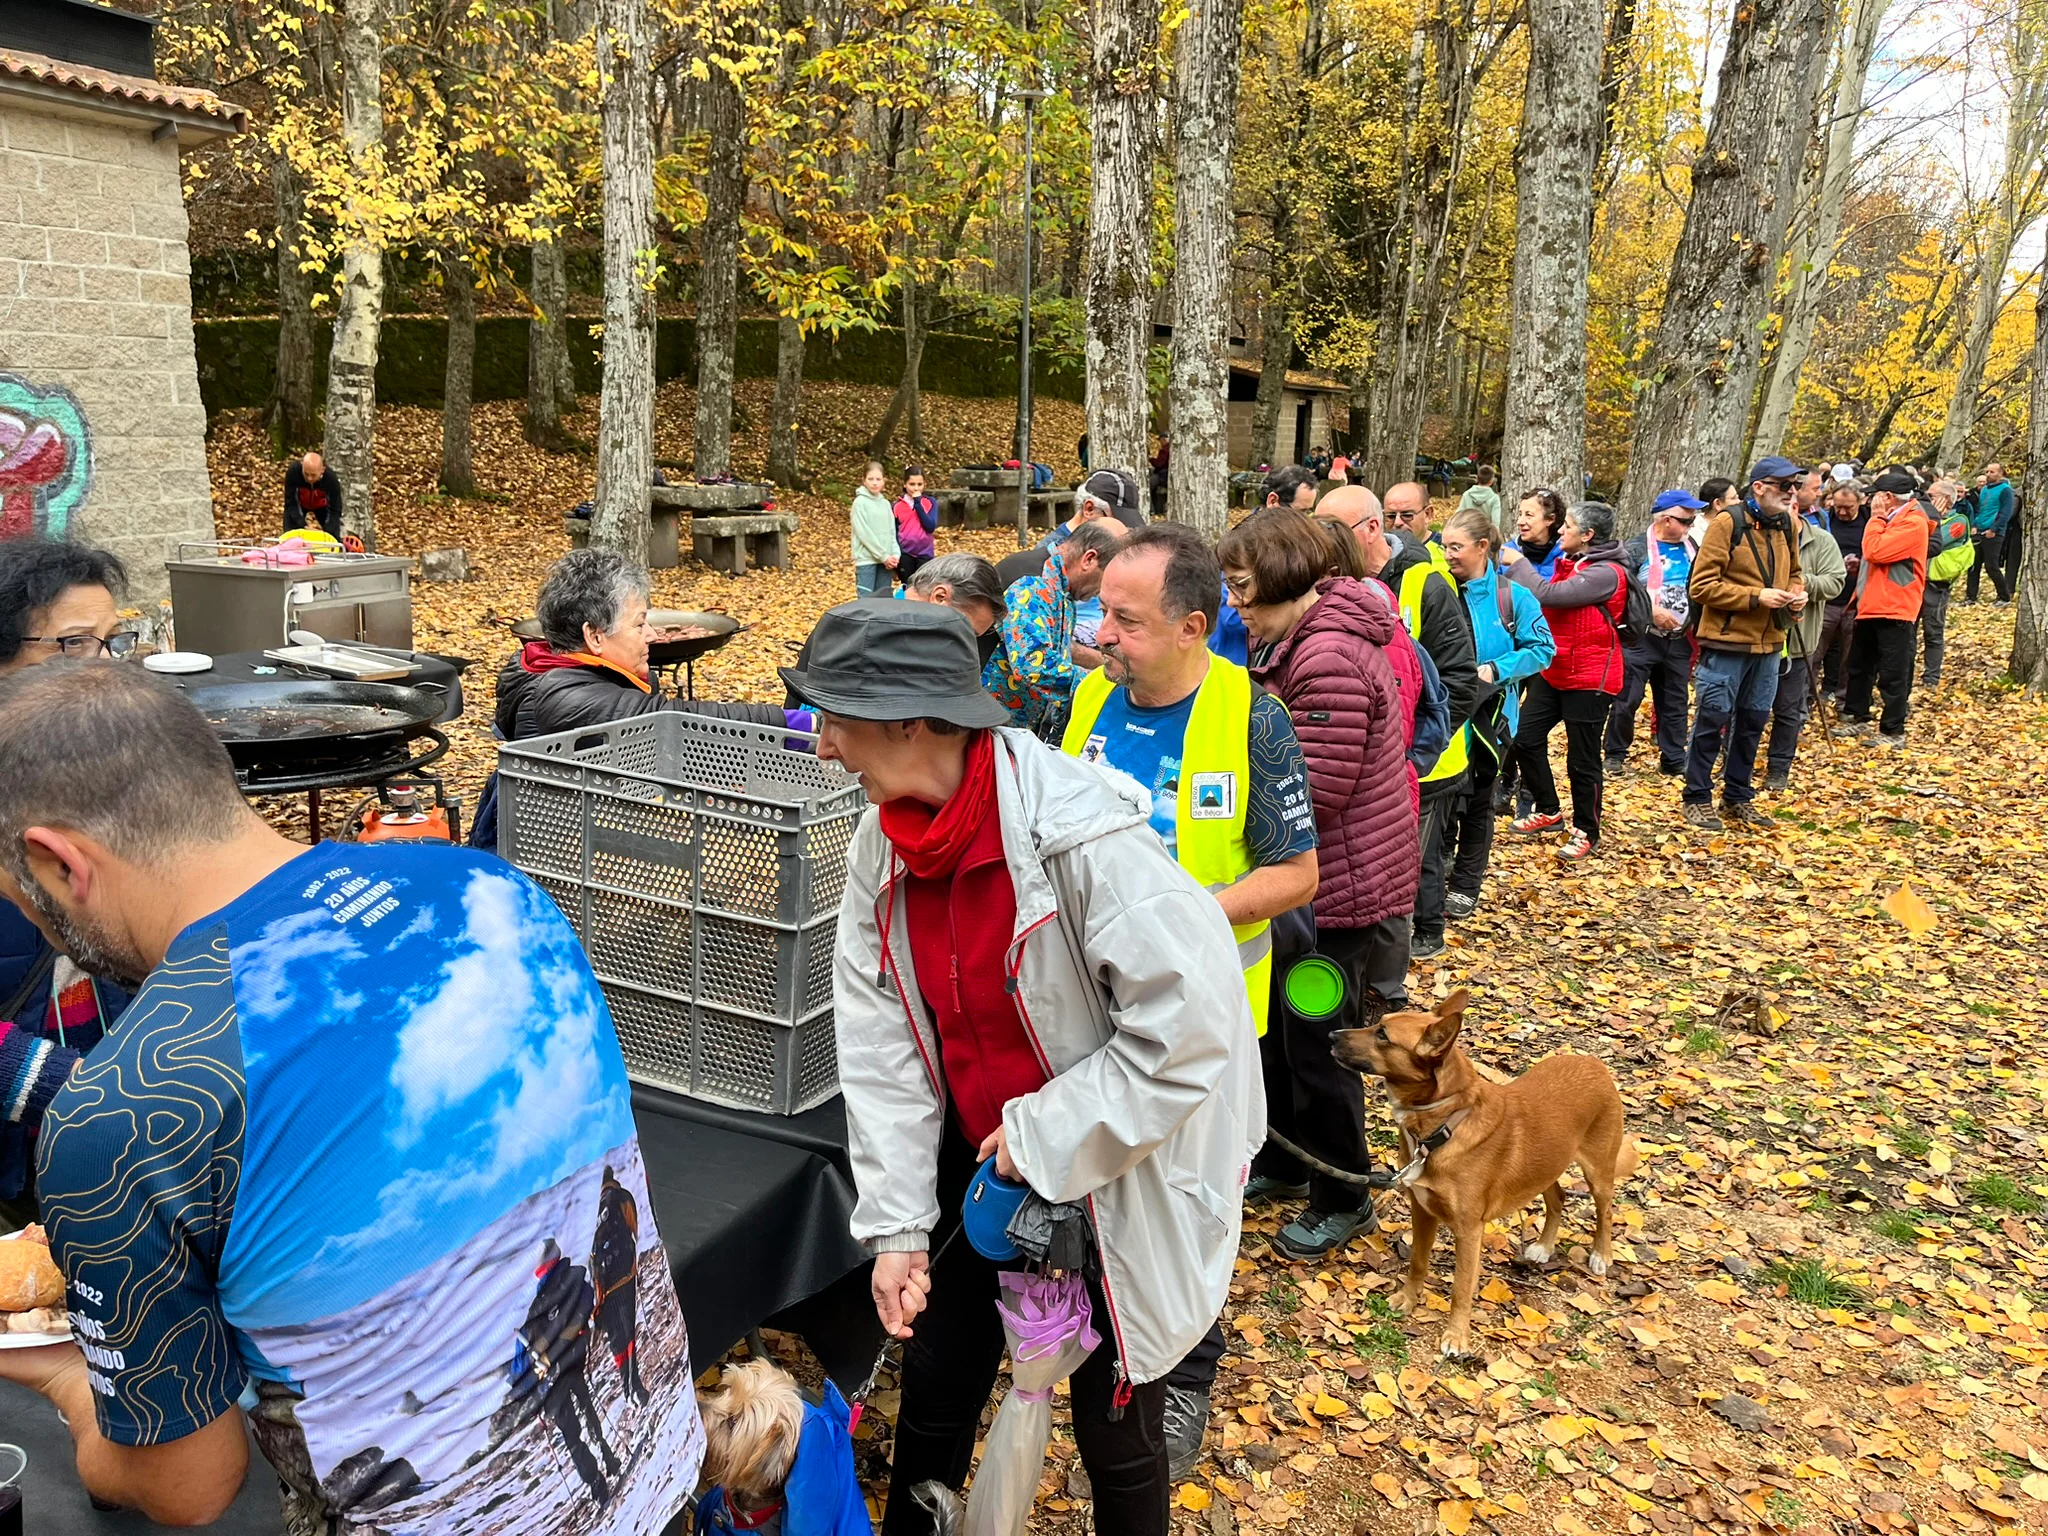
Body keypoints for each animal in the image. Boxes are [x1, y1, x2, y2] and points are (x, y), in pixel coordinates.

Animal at [1335, 987, 1638, 1359]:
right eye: (1380, 1024)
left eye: (1382, 1035)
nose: (1331, 1035)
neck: (1445, 1124)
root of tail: (1592, 1062)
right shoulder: (1423, 1211)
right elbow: (1417, 1261)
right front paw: (1408, 1299)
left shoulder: (1468, 1231)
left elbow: (1461, 1289)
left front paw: (1456, 1337)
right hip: (1545, 1166)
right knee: (1558, 1198)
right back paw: (1544, 1246)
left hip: (1598, 1173)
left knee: (1605, 1210)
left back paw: (1601, 1255)